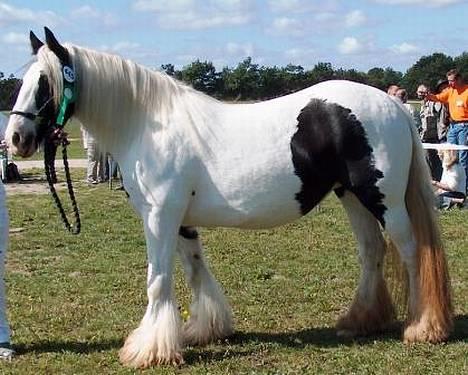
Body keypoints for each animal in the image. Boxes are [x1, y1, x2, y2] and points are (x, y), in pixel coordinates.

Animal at [6, 27, 454, 368]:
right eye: (25, 82)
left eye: (45, 83)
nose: (16, 139)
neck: (146, 124)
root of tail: (392, 104)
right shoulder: (181, 221)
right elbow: (195, 271)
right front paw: (203, 330)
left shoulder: (159, 218)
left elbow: (158, 281)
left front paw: (148, 350)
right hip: (351, 197)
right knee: (371, 252)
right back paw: (360, 320)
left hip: (383, 200)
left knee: (412, 252)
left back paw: (422, 327)